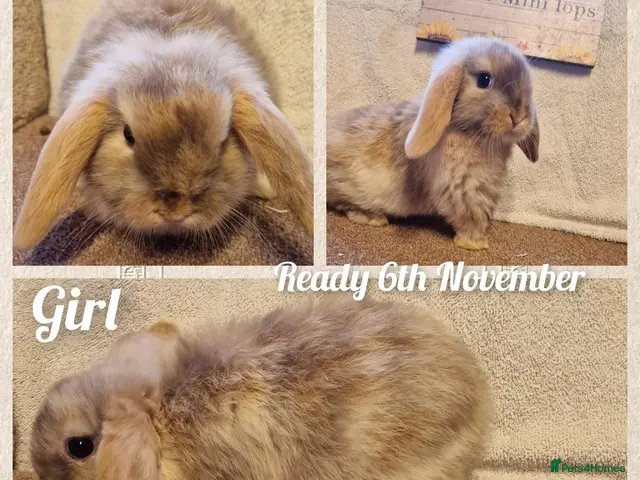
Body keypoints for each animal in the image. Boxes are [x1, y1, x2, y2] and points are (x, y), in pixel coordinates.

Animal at [327, 37, 540, 250]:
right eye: (484, 79)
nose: (519, 116)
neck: (469, 134)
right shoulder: (462, 189)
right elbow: (470, 217)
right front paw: (475, 243)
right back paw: (372, 217)